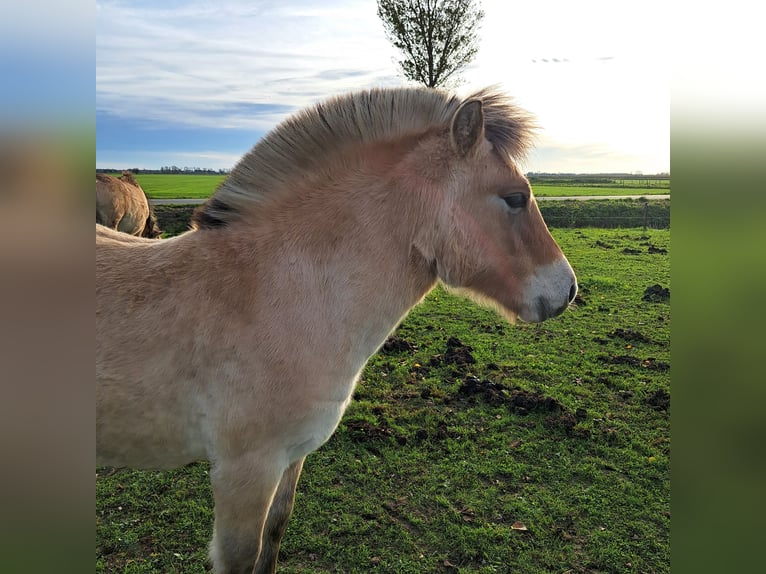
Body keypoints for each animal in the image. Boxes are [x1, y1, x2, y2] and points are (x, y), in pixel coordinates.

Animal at [96, 86, 578, 574]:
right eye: (515, 198)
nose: (568, 290)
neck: (271, 293)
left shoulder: (289, 461)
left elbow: (275, 533)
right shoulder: (245, 472)